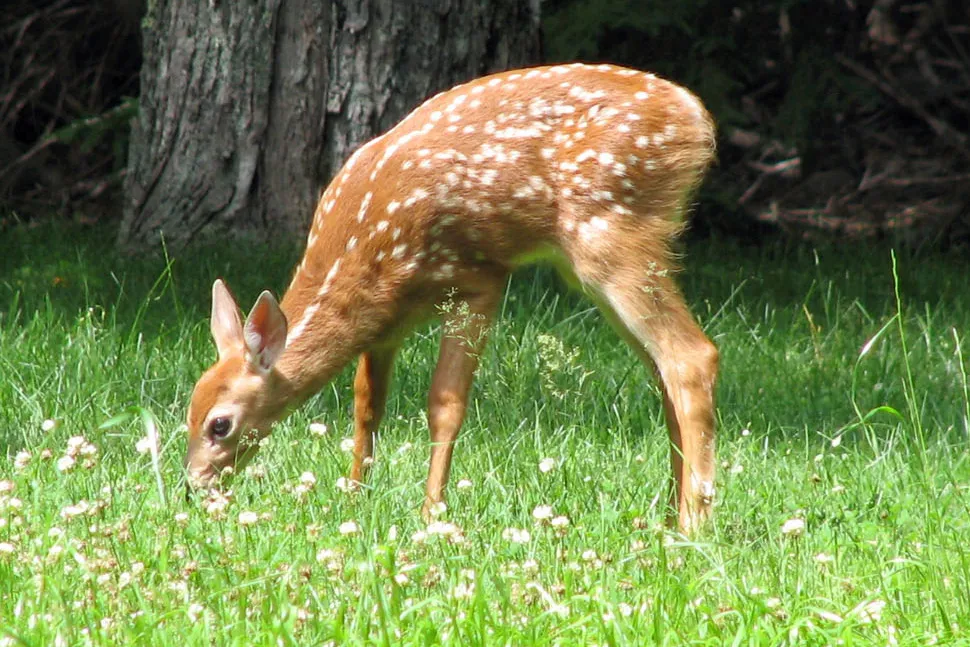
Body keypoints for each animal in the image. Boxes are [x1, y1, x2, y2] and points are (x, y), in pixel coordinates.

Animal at [184, 63, 719, 533]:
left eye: (219, 425)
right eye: (189, 407)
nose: (193, 488)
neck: (365, 253)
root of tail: (695, 115)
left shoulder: (477, 280)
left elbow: (445, 404)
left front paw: (431, 513)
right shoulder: (386, 324)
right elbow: (366, 405)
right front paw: (354, 497)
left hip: (613, 231)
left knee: (692, 356)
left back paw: (693, 522)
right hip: (598, 262)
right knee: (662, 370)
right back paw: (668, 516)